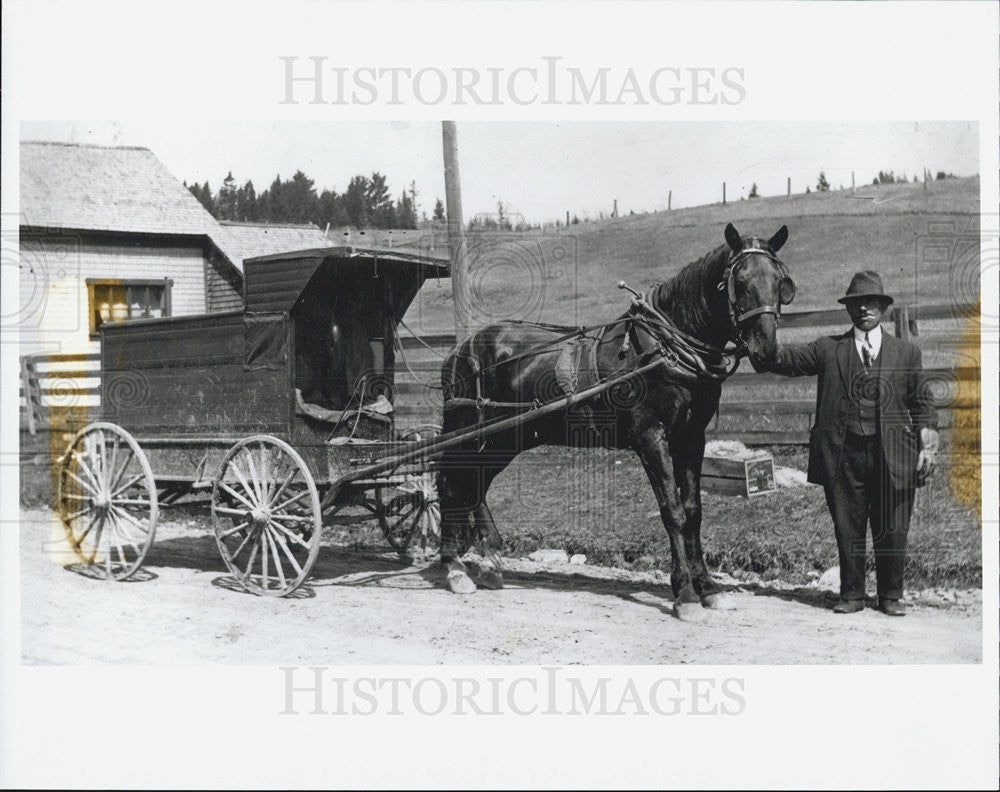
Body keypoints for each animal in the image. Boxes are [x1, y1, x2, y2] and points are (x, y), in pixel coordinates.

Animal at [434, 221, 792, 620]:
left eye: (781, 281)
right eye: (739, 281)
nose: (766, 349)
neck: (664, 348)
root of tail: (461, 348)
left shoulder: (691, 437)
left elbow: (694, 511)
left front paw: (708, 587)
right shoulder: (650, 436)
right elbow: (672, 512)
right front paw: (684, 592)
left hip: (505, 439)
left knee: (475, 485)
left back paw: (491, 561)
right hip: (469, 431)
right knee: (450, 483)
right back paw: (454, 568)